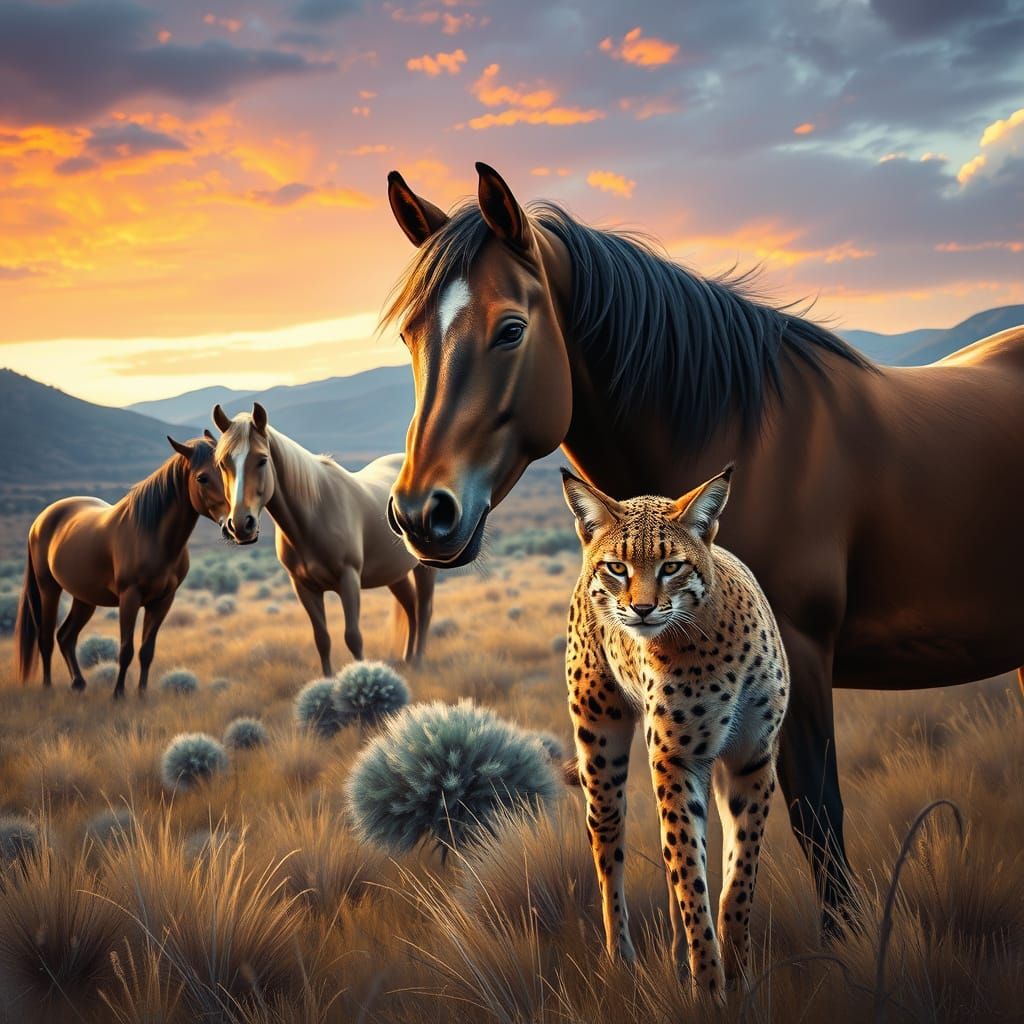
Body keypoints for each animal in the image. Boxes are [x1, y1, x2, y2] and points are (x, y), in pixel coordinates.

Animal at [14, 433, 228, 698]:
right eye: (202, 478)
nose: (239, 523)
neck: (151, 535)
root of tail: (40, 520)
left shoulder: (162, 601)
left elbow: (147, 650)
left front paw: (142, 695)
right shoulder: (130, 597)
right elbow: (126, 649)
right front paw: (118, 694)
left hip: (84, 598)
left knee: (65, 636)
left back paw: (78, 683)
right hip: (49, 589)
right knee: (46, 639)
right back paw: (48, 687)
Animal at [212, 403, 435, 670]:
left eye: (262, 460)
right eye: (223, 464)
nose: (240, 525)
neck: (314, 515)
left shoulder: (349, 580)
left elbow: (353, 637)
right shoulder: (304, 587)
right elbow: (322, 640)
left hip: (424, 566)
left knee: (423, 608)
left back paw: (419, 661)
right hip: (394, 572)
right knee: (410, 606)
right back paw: (408, 658)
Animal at [381, 162, 1024, 935]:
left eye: (510, 329)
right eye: (411, 335)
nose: (422, 514)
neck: (742, 438)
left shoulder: (798, 661)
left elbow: (817, 819)